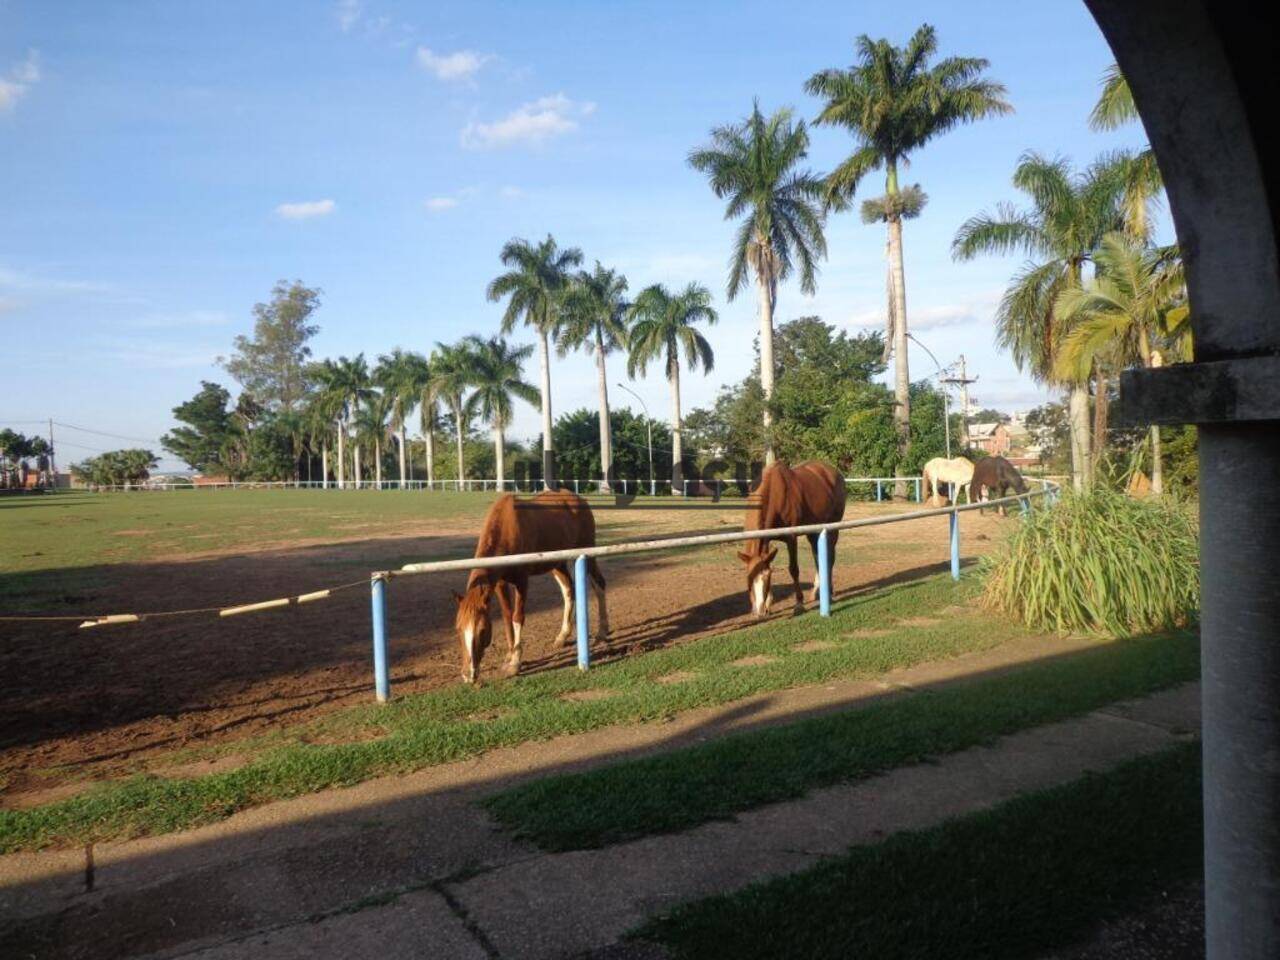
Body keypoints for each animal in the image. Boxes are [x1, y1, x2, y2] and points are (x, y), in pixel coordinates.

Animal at [453, 491, 606, 686]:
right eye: (458, 628)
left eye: (482, 630)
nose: (468, 675)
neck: (507, 528)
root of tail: (579, 500)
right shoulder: (500, 583)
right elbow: (507, 617)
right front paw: (510, 655)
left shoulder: (522, 581)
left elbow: (517, 617)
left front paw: (515, 663)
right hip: (557, 564)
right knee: (568, 591)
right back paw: (562, 636)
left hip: (588, 553)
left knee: (599, 585)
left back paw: (602, 632)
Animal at [737, 463, 844, 619]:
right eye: (749, 577)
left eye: (767, 576)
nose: (760, 610)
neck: (775, 493)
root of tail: (834, 473)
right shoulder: (767, 540)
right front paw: (768, 605)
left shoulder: (791, 538)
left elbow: (794, 569)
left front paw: (799, 604)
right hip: (813, 532)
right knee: (818, 558)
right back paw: (816, 592)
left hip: (832, 529)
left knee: (829, 559)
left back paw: (829, 593)